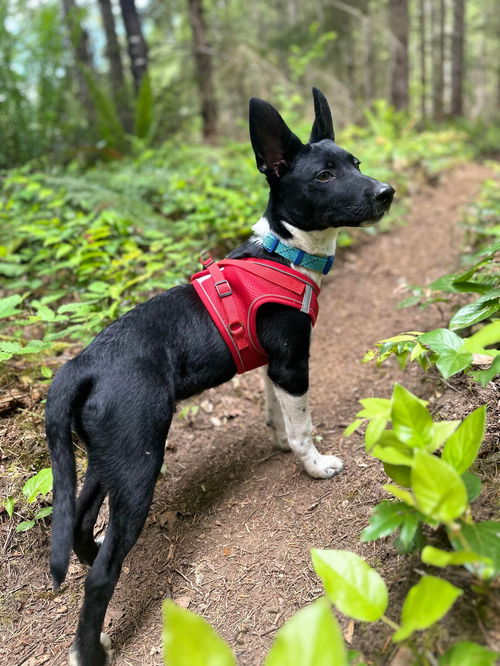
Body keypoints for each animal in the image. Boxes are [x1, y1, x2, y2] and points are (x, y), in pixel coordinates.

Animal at [46, 89, 394, 664]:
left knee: (78, 521)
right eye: (324, 175)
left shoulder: (272, 365)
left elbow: (276, 411)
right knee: (100, 576)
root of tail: (81, 364)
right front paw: (314, 464)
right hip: (139, 462)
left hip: (108, 455)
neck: (286, 252)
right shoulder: (292, 361)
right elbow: (303, 424)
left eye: (356, 163)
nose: (386, 192)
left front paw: (279, 442)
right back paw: (90, 648)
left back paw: (92, 555)